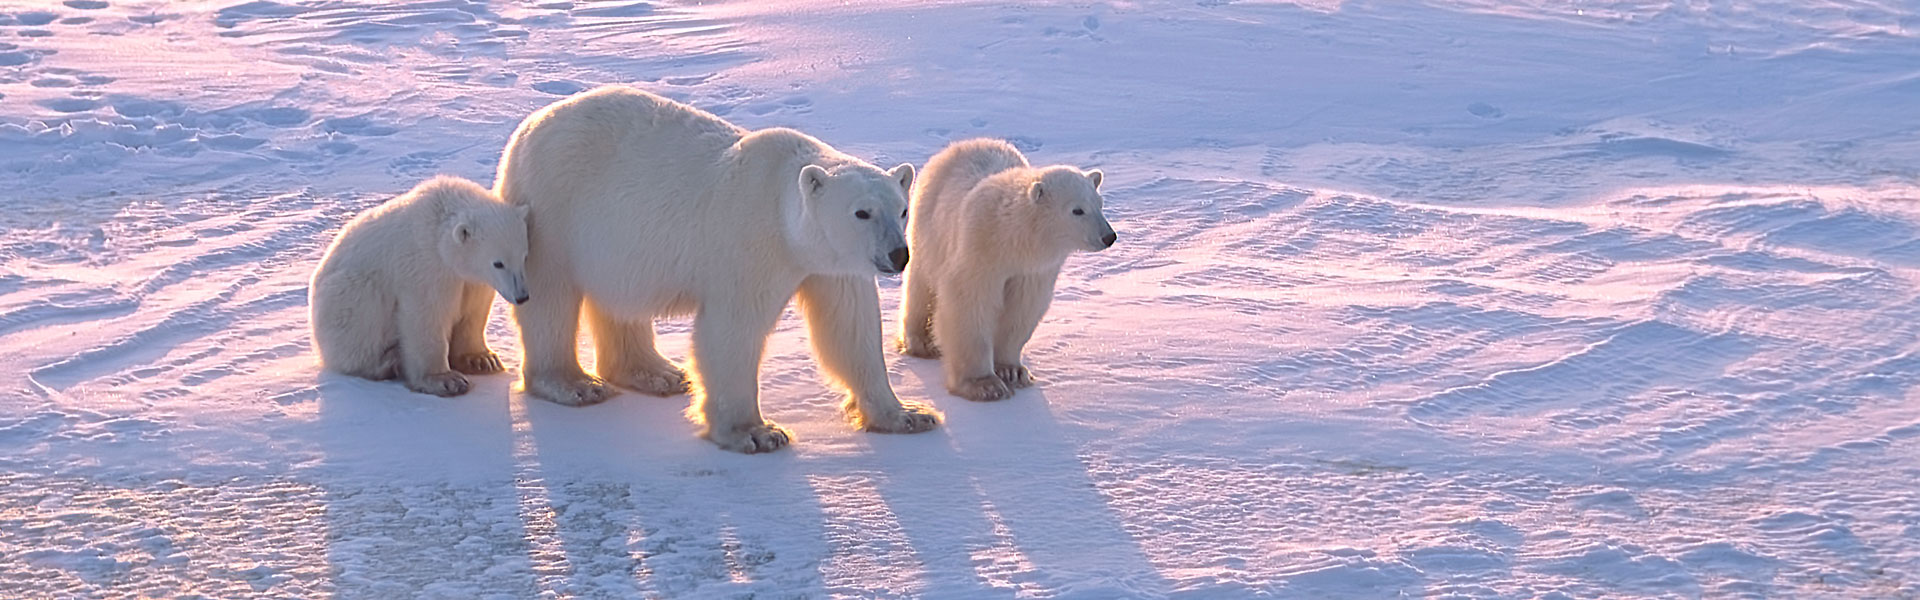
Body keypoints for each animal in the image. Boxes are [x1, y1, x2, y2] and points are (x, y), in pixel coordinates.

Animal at [311, 175, 533, 396]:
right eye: (498, 263)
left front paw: (482, 359)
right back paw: (388, 361)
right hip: (345, 297)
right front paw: (446, 379)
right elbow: (426, 314)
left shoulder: (472, 280)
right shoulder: (424, 265)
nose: (522, 296)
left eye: (524, 256)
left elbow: (474, 310)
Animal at [491, 83, 940, 450]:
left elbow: (849, 328)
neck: (782, 209)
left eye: (902, 209)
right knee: (551, 297)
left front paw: (909, 415)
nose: (898, 255)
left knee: (620, 300)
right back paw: (574, 384)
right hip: (554, 209)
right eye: (861, 212)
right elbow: (732, 330)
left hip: (612, 239)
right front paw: (756, 433)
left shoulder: (831, 265)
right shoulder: (751, 244)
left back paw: (657, 373)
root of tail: (526, 128)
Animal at [894, 140, 1121, 400]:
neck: (1012, 238)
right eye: (1077, 210)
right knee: (920, 281)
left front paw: (1012, 371)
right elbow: (968, 304)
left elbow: (1021, 308)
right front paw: (984, 385)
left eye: (1100, 204)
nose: (1109, 237)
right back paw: (920, 342)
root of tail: (960, 145)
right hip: (929, 223)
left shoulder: (1032, 270)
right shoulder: (979, 251)